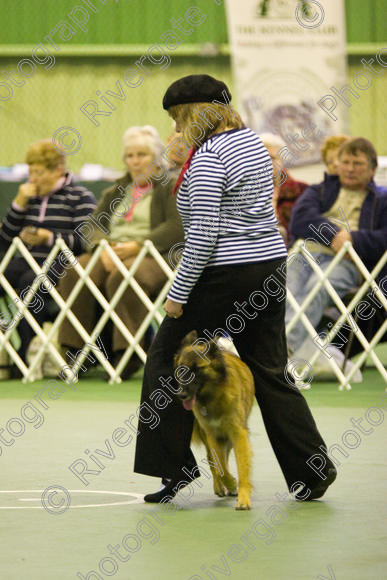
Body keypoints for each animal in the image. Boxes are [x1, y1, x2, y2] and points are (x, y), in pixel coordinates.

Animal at [175, 330, 255, 508]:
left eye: (197, 369)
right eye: (182, 369)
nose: (181, 395)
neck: (213, 395)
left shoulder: (237, 433)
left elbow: (241, 466)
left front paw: (243, 497)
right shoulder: (213, 435)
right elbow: (220, 468)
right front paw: (230, 484)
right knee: (213, 462)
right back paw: (220, 487)